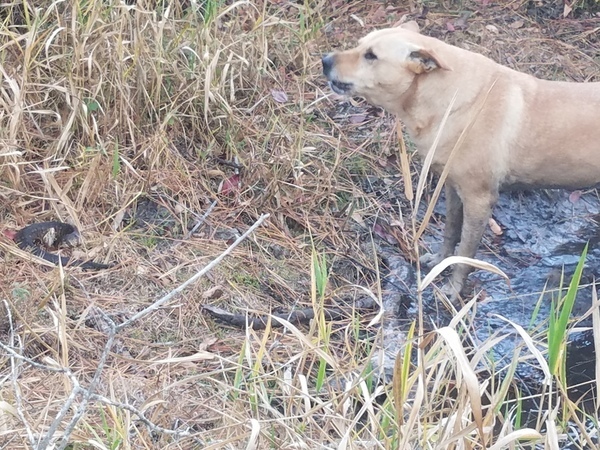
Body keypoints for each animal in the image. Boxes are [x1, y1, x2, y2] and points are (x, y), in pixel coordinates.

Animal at [326, 22, 600, 298]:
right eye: (359, 45)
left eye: (371, 55)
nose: (324, 60)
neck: (449, 101)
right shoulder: (451, 187)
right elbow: (450, 231)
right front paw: (439, 262)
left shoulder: (479, 200)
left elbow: (466, 253)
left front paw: (453, 289)